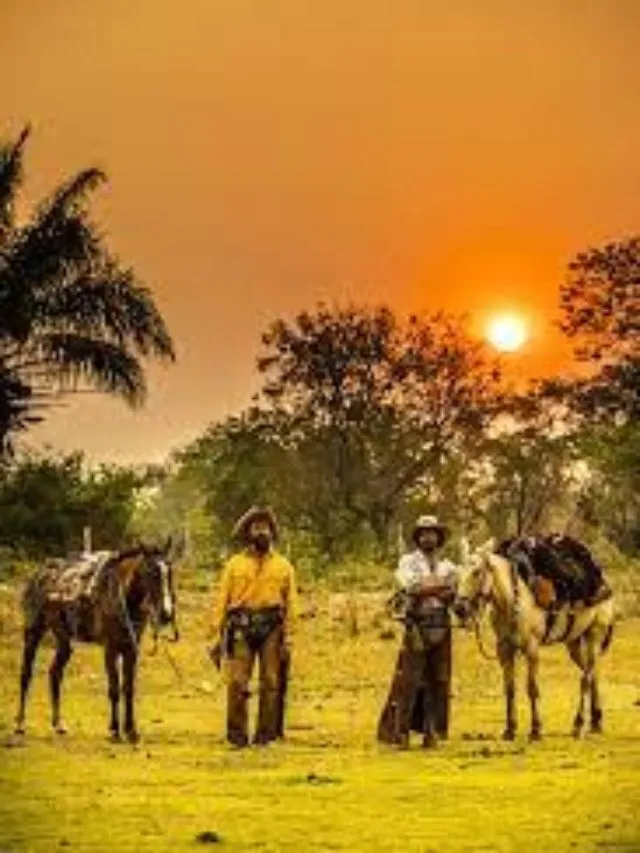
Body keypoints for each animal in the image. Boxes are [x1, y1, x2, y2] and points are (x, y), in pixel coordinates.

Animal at [15, 544, 180, 744]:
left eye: (169, 572)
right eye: (150, 572)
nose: (166, 614)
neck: (121, 597)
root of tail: (37, 576)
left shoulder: (131, 649)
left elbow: (129, 689)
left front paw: (131, 731)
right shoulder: (110, 649)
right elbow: (114, 689)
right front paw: (115, 730)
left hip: (64, 641)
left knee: (55, 674)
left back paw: (58, 725)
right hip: (33, 632)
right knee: (26, 675)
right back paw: (20, 724)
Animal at [452, 544, 612, 740]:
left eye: (476, 572)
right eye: (457, 573)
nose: (459, 608)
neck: (514, 601)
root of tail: (603, 584)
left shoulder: (531, 649)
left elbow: (532, 688)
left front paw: (536, 729)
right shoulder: (504, 650)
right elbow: (510, 688)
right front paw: (510, 729)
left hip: (594, 636)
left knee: (586, 678)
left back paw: (579, 724)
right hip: (574, 643)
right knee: (593, 673)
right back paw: (596, 721)